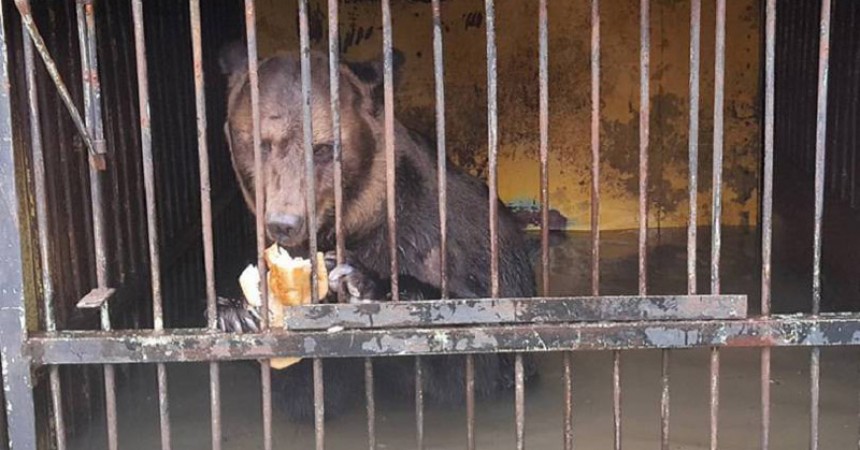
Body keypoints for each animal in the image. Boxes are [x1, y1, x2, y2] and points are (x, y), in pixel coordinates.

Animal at [215, 40, 536, 424]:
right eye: (260, 144)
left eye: (323, 148)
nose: (285, 221)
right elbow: (313, 389)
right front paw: (237, 312)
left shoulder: (448, 244)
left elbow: (474, 358)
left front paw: (361, 281)